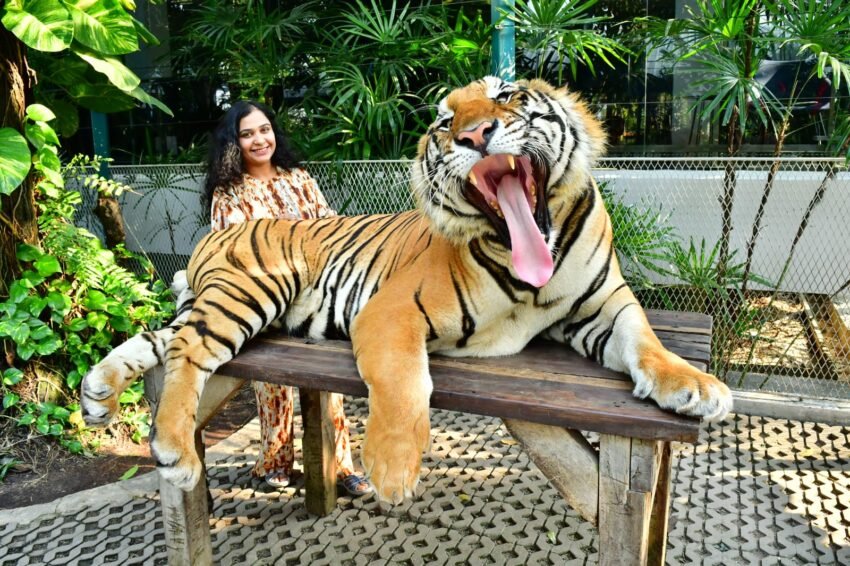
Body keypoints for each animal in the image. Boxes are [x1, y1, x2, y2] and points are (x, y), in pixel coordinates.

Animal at [81, 77, 732, 504]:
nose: (475, 134)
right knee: (187, 350)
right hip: (251, 290)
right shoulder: (391, 312)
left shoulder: (604, 308)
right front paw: (393, 472)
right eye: (445, 123)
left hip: (217, 302)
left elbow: (646, 343)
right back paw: (173, 450)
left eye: (506, 96)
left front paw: (697, 387)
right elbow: (403, 382)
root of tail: (218, 234)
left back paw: (96, 395)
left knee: (157, 340)